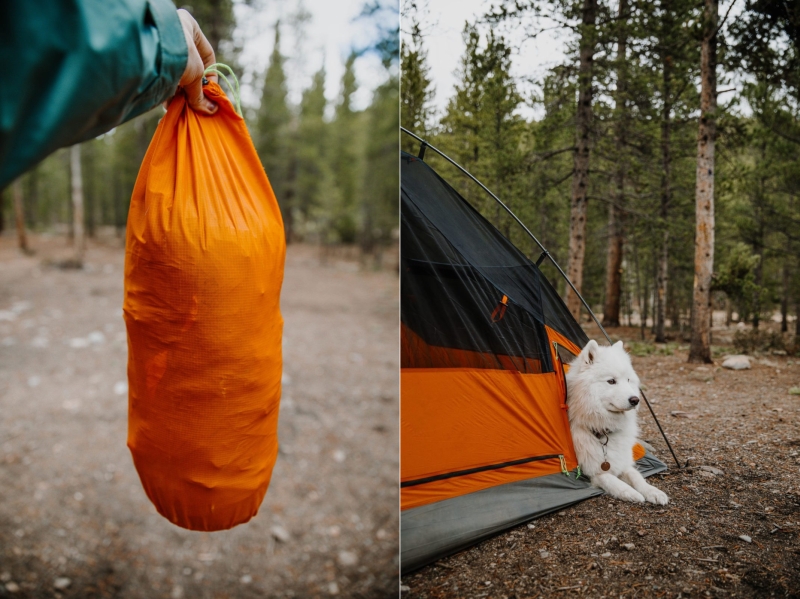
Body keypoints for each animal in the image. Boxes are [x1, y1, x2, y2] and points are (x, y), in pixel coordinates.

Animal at [564, 340, 672, 504]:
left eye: (628, 380)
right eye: (611, 381)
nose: (635, 400)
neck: (603, 429)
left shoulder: (623, 460)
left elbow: (636, 476)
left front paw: (653, 491)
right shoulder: (594, 471)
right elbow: (612, 480)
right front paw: (632, 494)